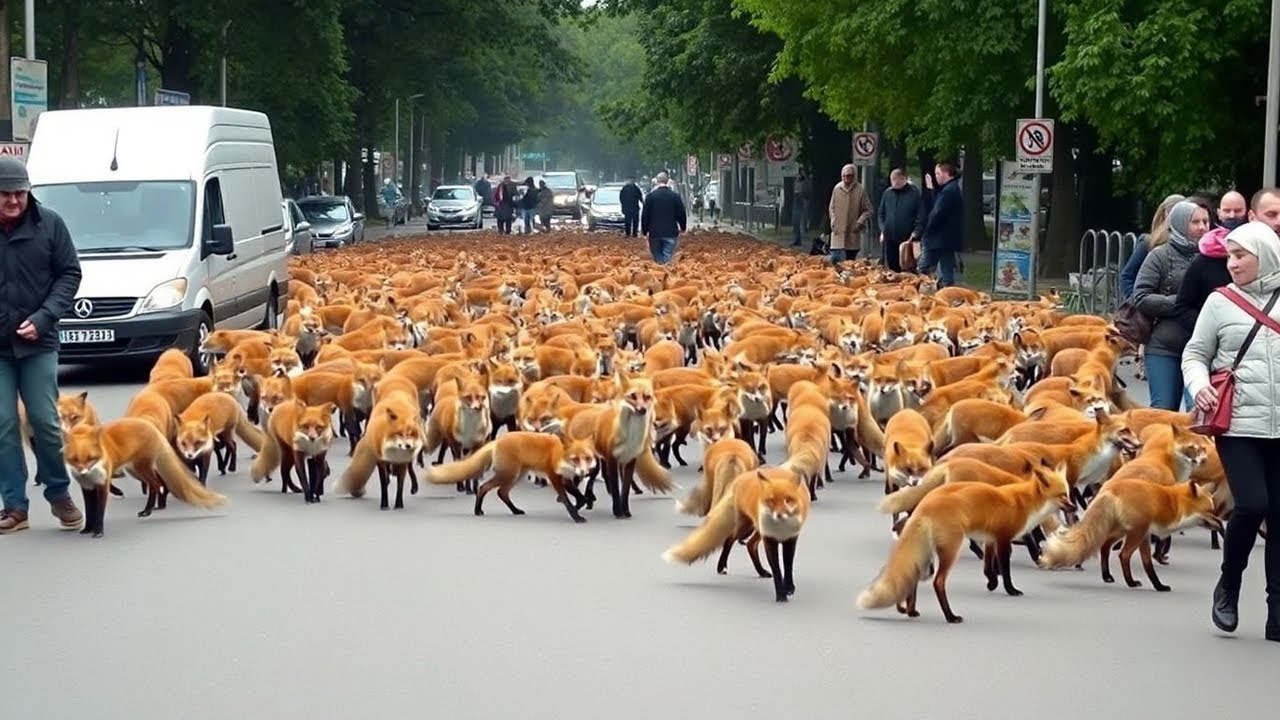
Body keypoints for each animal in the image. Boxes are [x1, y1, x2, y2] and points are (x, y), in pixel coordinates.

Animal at [63, 419, 228, 538]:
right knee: (157, 485)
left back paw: (149, 510)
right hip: (135, 471)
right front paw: (87, 529)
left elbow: (99, 511)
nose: (83, 472)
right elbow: (89, 511)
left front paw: (98, 531)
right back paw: (151, 508)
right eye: (75, 460)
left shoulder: (102, 484)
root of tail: (151, 426)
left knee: (156, 485)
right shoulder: (87, 487)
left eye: (90, 459)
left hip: (141, 469)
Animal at [424, 431, 598, 522]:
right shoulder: (554, 477)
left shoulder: (567, 479)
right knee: (484, 487)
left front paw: (581, 505)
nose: (584, 473)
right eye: (575, 459)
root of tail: (498, 440)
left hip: (517, 476)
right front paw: (576, 516)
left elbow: (579, 496)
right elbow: (567, 500)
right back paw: (477, 510)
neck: (560, 455)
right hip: (508, 475)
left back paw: (515, 510)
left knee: (502, 493)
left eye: (588, 458)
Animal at [662, 468, 811, 602]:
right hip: (745, 528)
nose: (779, 515)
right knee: (730, 539)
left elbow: (788, 566)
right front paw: (781, 596)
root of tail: (742, 477)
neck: (780, 530)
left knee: (750, 544)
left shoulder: (791, 539)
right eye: (771, 501)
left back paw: (761, 571)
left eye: (788, 500)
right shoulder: (769, 539)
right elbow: (777, 570)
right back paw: (722, 566)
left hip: (755, 529)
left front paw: (789, 587)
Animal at [858, 464, 1073, 623]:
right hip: (951, 549)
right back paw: (950, 616)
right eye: (1063, 495)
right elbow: (1005, 570)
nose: (1073, 508)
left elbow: (988, 566)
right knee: (938, 582)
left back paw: (910, 611)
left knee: (912, 577)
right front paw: (1010, 590)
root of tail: (926, 503)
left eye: (1069, 494)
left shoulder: (990, 540)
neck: (1025, 502)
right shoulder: (1003, 539)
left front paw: (991, 583)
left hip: (927, 553)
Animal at [1039, 478, 1223, 591]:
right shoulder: (1143, 534)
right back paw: (1130, 582)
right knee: (1123, 555)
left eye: (1214, 511)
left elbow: (1148, 565)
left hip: (1121, 531)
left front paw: (1158, 585)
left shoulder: (1146, 535)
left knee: (1105, 547)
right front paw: (1158, 586)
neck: (1174, 504)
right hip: (1132, 533)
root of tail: (1110, 488)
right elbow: (1147, 563)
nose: (1221, 523)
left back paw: (1107, 576)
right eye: (1209, 512)